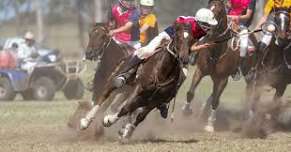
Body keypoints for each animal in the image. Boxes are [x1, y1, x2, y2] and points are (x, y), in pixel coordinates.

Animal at [181, 0, 258, 132]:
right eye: (208, 7)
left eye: (219, 11)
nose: (207, 30)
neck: (216, 49)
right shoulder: (200, 71)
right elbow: (191, 92)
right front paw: (186, 111)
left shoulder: (223, 79)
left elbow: (216, 101)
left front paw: (210, 124)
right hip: (214, 77)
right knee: (213, 94)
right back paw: (202, 111)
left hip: (248, 74)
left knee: (248, 90)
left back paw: (248, 118)